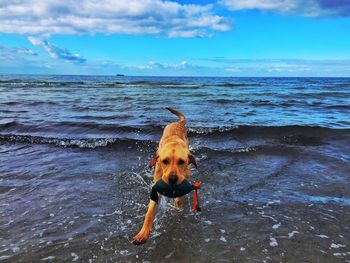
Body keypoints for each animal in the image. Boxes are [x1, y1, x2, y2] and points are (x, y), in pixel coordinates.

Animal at [132, 108, 197, 246]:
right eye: (165, 161)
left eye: (181, 162)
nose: (172, 179)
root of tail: (178, 123)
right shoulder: (155, 189)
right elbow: (149, 213)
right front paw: (142, 234)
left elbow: (179, 199)